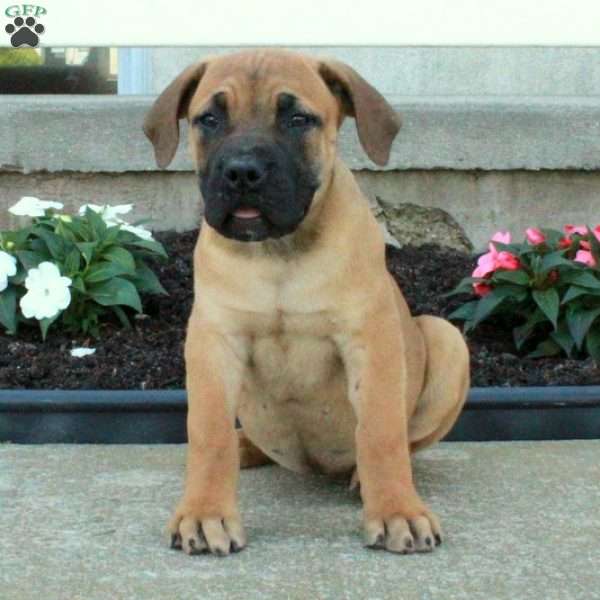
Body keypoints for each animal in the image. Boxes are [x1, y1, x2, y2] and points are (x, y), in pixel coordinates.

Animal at [144, 49, 468, 556]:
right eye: (209, 119)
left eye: (298, 119)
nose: (242, 171)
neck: (280, 251)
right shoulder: (214, 341)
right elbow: (208, 432)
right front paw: (205, 512)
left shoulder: (370, 338)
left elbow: (381, 431)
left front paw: (396, 509)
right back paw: (244, 447)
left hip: (446, 336)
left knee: (404, 441)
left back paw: (364, 479)